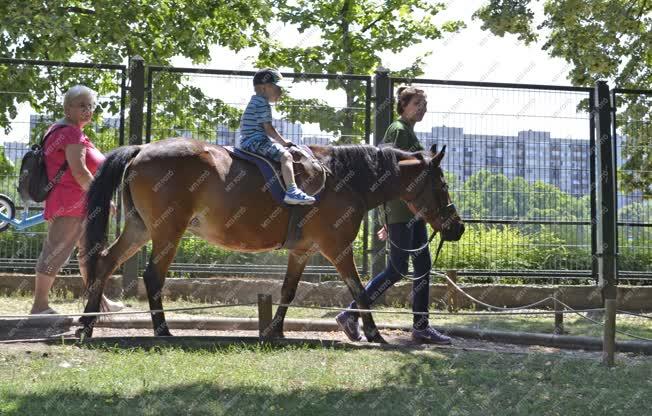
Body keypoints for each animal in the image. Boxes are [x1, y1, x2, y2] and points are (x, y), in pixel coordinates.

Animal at [79, 138, 464, 342]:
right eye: (442, 184)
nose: (457, 228)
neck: (343, 179)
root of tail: (142, 149)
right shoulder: (338, 249)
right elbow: (359, 289)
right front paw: (373, 332)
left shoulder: (303, 251)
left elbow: (289, 291)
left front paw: (274, 331)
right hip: (166, 232)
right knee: (152, 276)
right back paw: (161, 330)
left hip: (140, 228)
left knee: (105, 262)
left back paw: (87, 323)